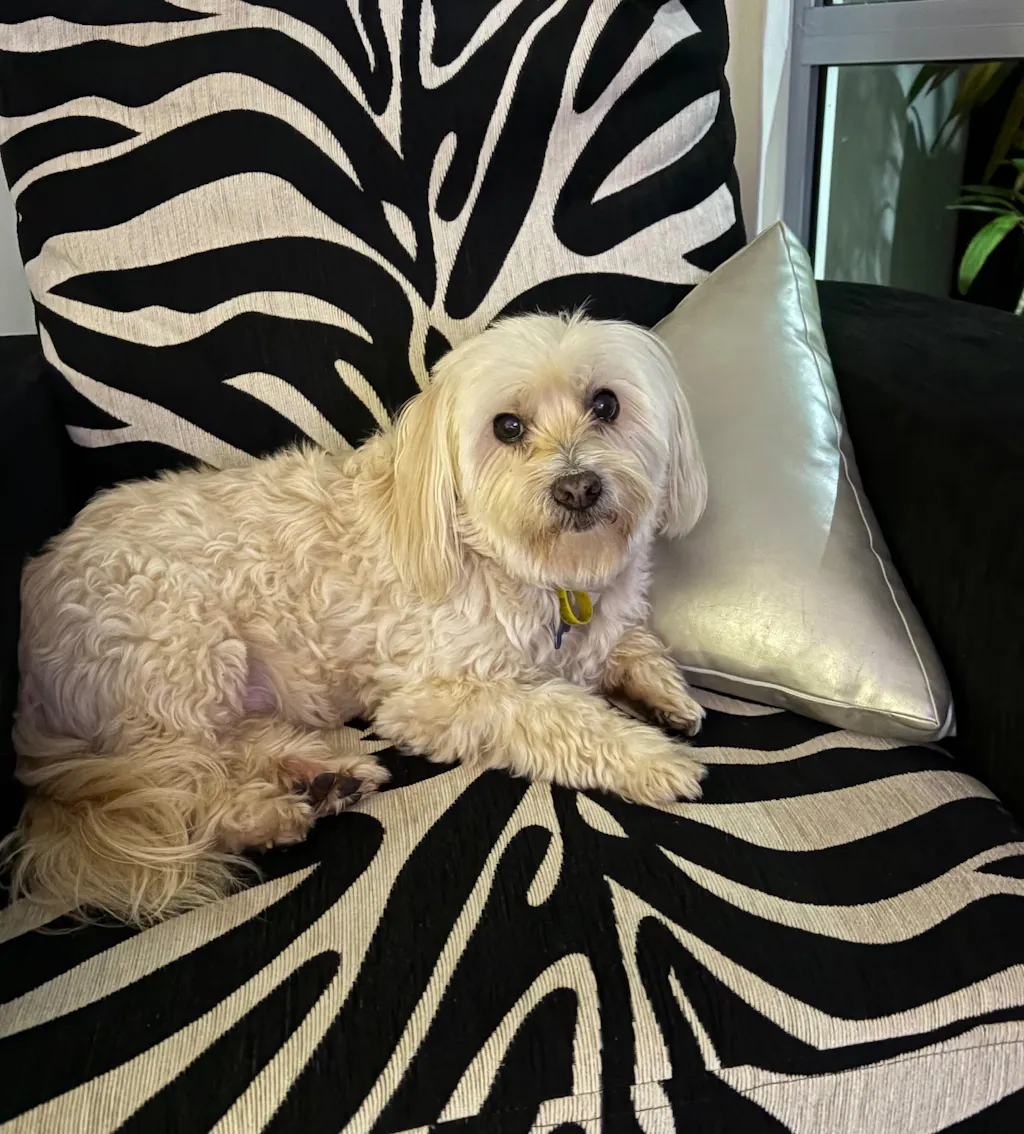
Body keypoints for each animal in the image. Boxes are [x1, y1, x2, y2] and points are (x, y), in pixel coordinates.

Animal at [3, 312, 708, 926]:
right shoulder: (439, 696)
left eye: (606, 405)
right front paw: (651, 758)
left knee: (220, 748)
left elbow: (626, 642)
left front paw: (662, 690)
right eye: (507, 427)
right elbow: (557, 713)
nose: (578, 487)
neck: (537, 569)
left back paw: (321, 775)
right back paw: (264, 813)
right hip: (179, 640)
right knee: (178, 773)